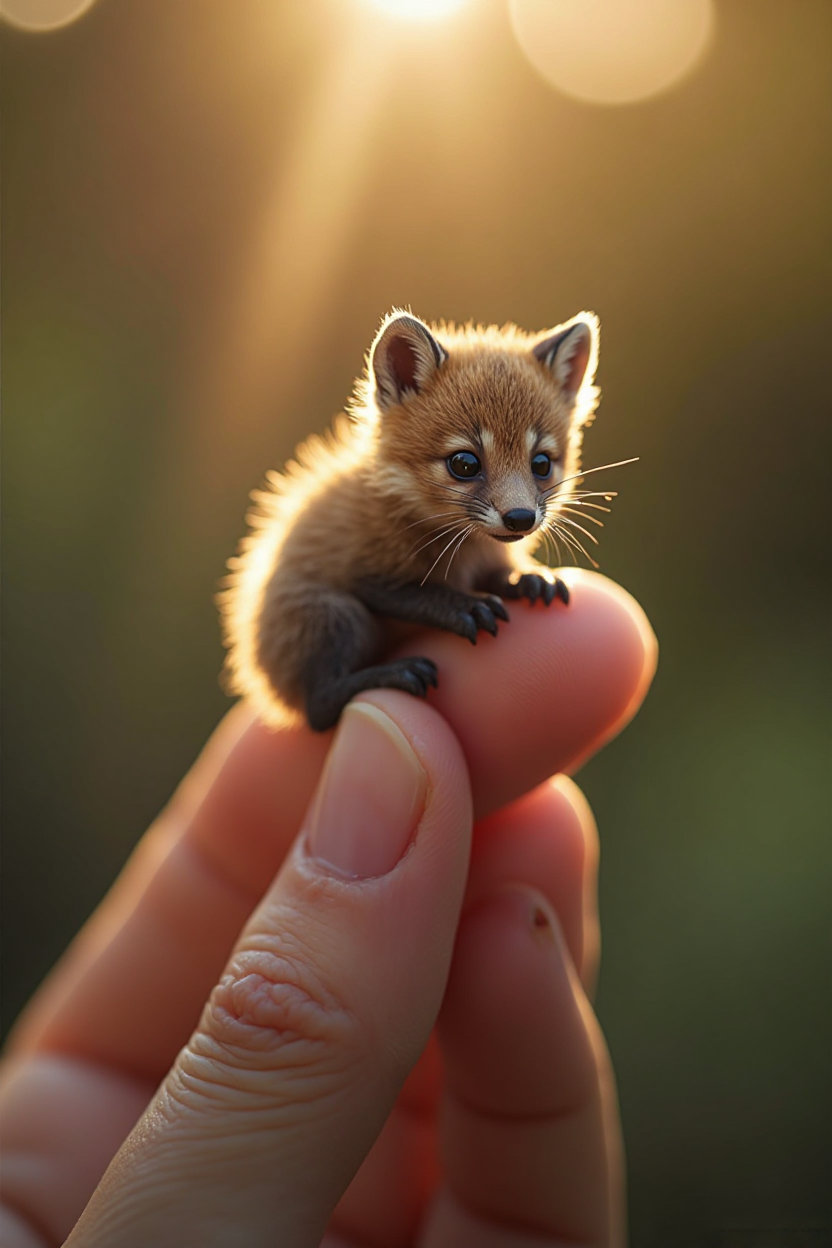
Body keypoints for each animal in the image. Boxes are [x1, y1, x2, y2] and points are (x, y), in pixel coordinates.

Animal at [219, 309, 613, 731]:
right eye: (464, 463)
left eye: (541, 463)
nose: (521, 518)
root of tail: (262, 680)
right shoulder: (362, 572)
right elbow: (415, 593)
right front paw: (461, 606)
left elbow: (497, 575)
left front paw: (529, 579)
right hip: (334, 614)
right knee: (319, 709)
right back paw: (395, 673)